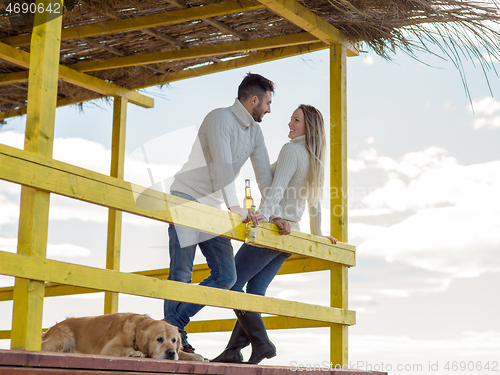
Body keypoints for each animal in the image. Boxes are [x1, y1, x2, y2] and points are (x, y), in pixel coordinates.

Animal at [40, 312, 206, 362]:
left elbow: (183, 353)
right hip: (64, 337)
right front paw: (136, 352)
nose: (171, 353)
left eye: (174, 340)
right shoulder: (109, 348)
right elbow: (125, 348)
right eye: (159, 339)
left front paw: (194, 356)